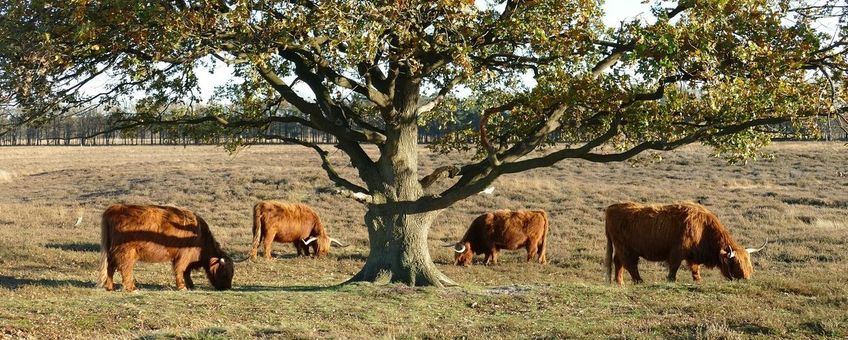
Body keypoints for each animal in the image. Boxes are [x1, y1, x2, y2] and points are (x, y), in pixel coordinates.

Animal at [98, 205, 234, 292]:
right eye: (226, 273)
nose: (227, 288)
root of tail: (114, 208)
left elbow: (187, 272)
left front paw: (190, 285)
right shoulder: (183, 256)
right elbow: (181, 270)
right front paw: (182, 287)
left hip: (112, 252)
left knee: (110, 268)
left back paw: (110, 287)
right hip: (126, 252)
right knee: (125, 269)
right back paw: (131, 288)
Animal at [604, 202, 768, 284]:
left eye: (749, 263)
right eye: (736, 264)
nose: (747, 278)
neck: (703, 228)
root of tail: (612, 208)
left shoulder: (691, 255)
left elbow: (695, 268)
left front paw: (698, 280)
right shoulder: (678, 251)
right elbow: (674, 267)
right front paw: (671, 280)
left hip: (621, 248)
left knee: (618, 262)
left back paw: (619, 282)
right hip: (626, 248)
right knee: (630, 264)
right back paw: (639, 281)